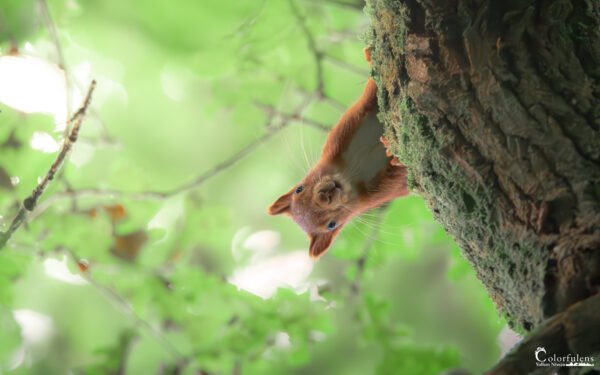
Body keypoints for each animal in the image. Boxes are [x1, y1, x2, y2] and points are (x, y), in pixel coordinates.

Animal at [270, 48, 410, 260]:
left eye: (299, 189)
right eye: (331, 225)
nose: (325, 196)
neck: (352, 170)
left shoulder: (345, 129)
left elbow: (371, 94)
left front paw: (370, 56)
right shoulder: (383, 191)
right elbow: (402, 179)